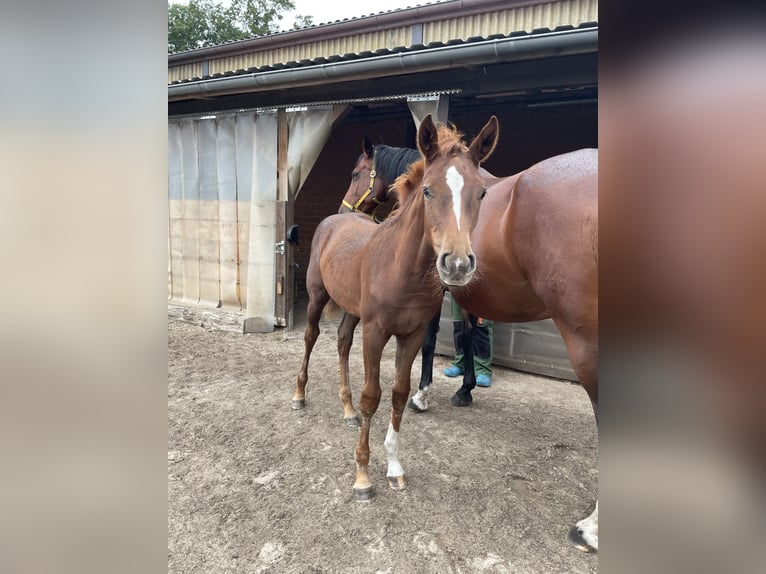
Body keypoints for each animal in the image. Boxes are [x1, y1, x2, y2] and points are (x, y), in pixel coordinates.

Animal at [292, 114, 500, 500]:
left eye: (481, 192)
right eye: (428, 190)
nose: (457, 265)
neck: (403, 268)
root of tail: (333, 219)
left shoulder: (412, 334)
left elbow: (400, 395)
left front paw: (394, 467)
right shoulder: (376, 332)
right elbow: (372, 396)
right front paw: (362, 476)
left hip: (352, 311)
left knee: (342, 341)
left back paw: (347, 410)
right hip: (316, 297)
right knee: (311, 337)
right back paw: (299, 395)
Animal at [337, 136, 599, 552]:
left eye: (354, 173)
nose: (343, 208)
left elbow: (432, 344)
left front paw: (423, 394)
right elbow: (467, 337)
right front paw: (465, 389)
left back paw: (591, 527)